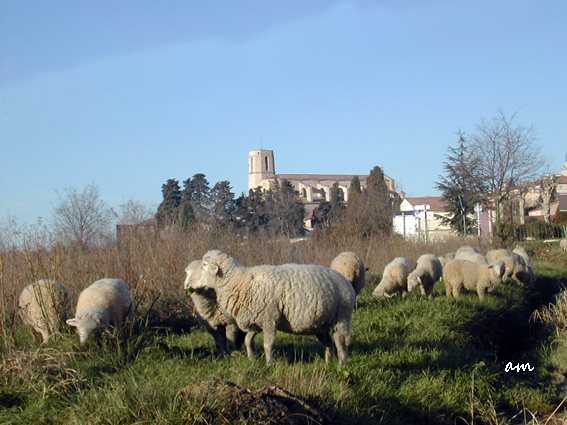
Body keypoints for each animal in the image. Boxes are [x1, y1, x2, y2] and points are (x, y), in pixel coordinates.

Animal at [188, 250, 355, 367]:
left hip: (342, 318)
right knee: (329, 343)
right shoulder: (255, 321)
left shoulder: (269, 320)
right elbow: (248, 341)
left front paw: (269, 364)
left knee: (341, 344)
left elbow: (267, 346)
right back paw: (328, 364)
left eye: (204, 266)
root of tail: (344, 280)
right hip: (321, 325)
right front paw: (251, 359)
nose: (188, 285)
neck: (240, 281)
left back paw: (341, 366)